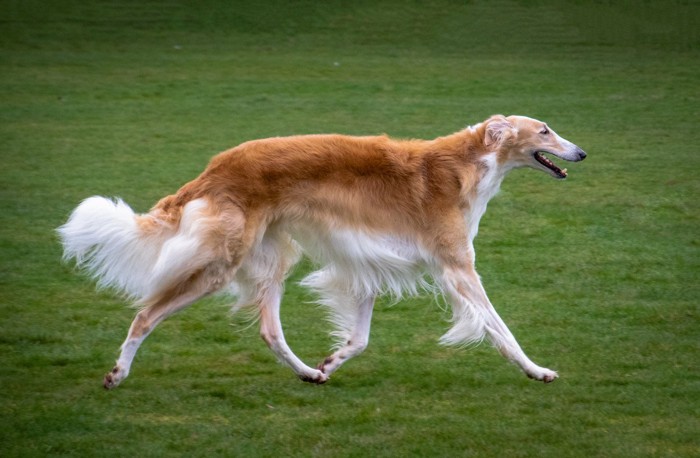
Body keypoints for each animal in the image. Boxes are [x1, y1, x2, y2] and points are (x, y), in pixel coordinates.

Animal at [58, 113, 584, 386]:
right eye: (544, 130)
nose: (580, 152)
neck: (465, 164)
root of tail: (214, 167)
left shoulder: (370, 262)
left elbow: (360, 338)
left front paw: (332, 360)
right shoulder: (457, 267)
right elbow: (501, 329)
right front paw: (538, 370)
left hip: (272, 259)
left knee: (269, 331)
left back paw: (309, 372)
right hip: (220, 264)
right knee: (145, 314)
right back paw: (117, 373)